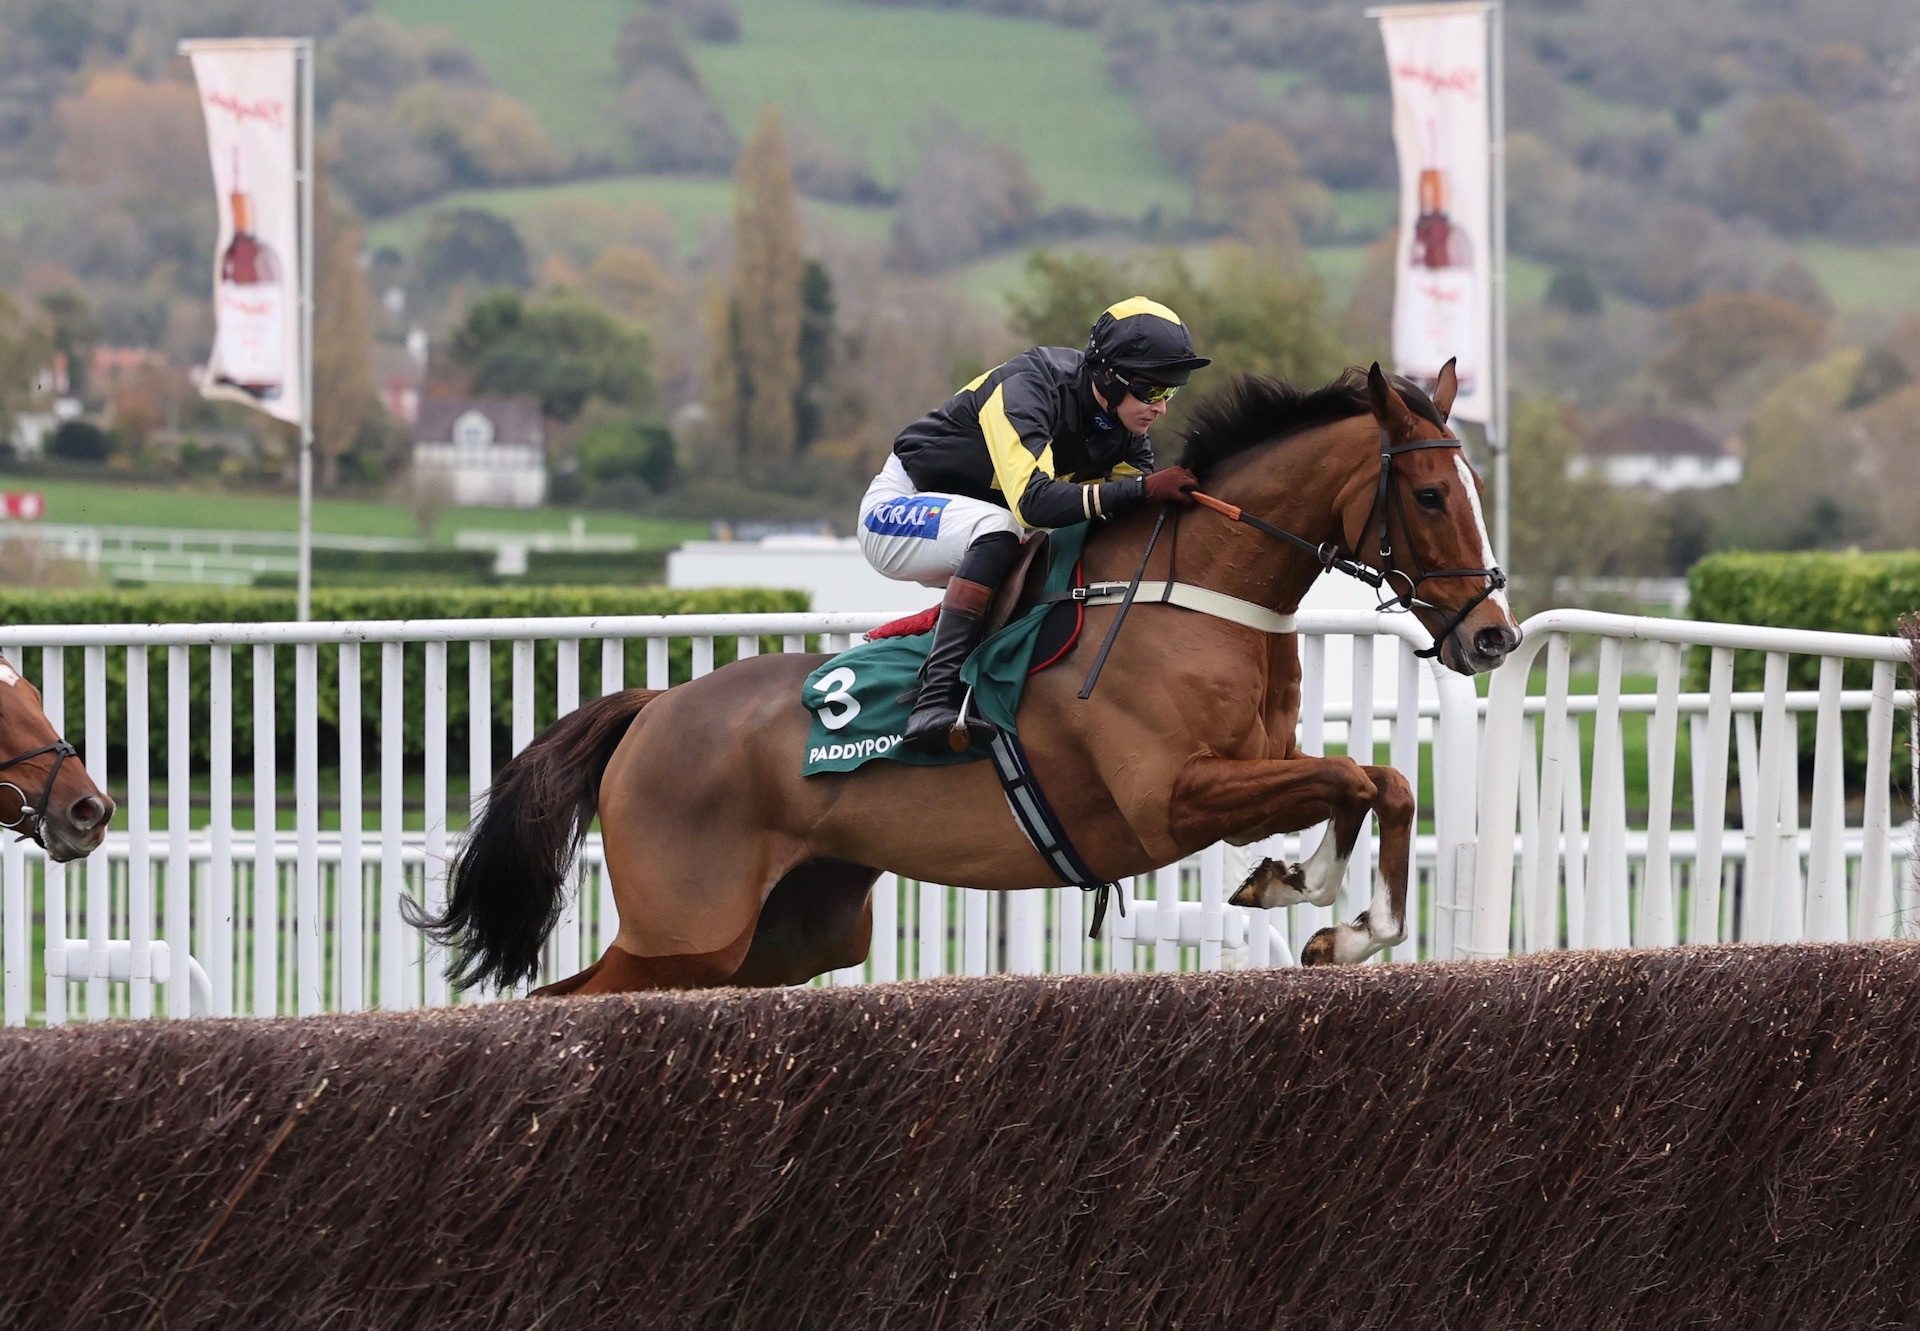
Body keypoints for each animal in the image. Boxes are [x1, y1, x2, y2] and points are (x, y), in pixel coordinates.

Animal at [416, 361, 1512, 983]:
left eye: (1472, 485)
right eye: (1427, 493)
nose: (1492, 636)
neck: (1192, 594)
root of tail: (654, 710)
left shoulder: (1248, 772)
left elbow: (1377, 779)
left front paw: (1317, 904)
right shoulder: (1171, 796)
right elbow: (1354, 775)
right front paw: (1324, 904)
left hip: (789, 935)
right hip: (688, 926)